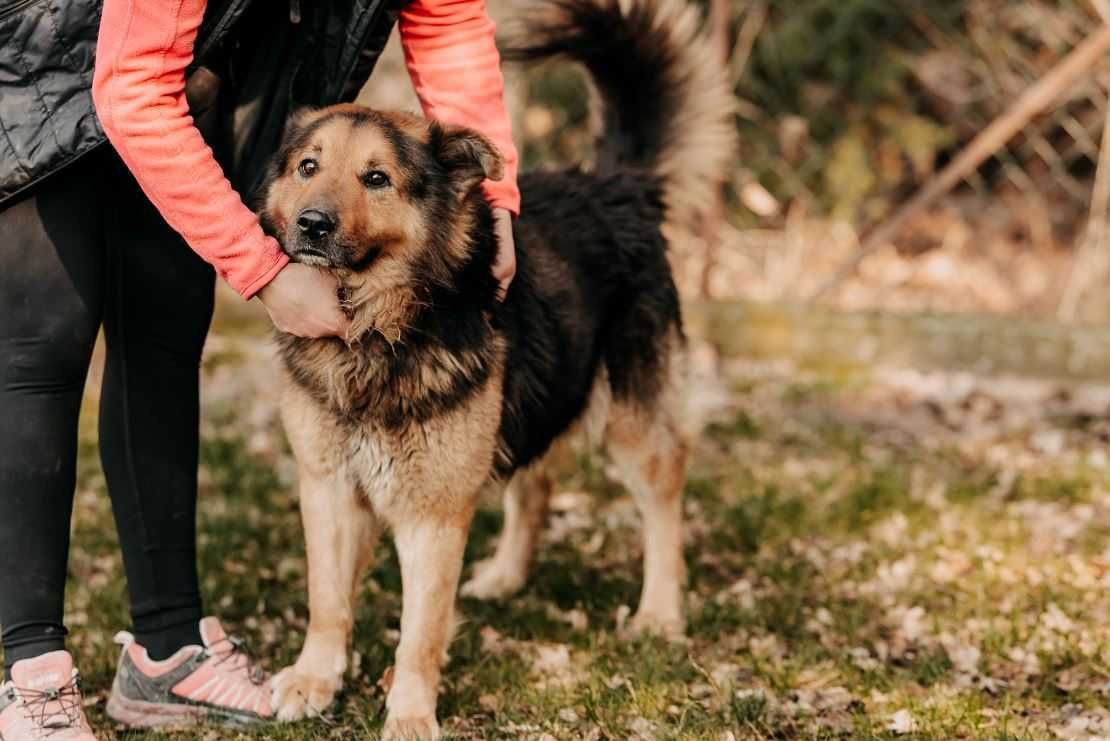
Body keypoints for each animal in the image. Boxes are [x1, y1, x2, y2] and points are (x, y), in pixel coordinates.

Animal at [259, 0, 737, 736]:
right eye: (308, 166)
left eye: (376, 179)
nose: (311, 224)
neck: (378, 328)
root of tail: (613, 183)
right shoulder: (328, 486)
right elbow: (327, 598)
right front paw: (316, 678)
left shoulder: (433, 513)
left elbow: (421, 630)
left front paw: (410, 713)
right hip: (536, 385)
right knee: (534, 483)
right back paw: (507, 575)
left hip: (632, 423)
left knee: (663, 500)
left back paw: (659, 611)